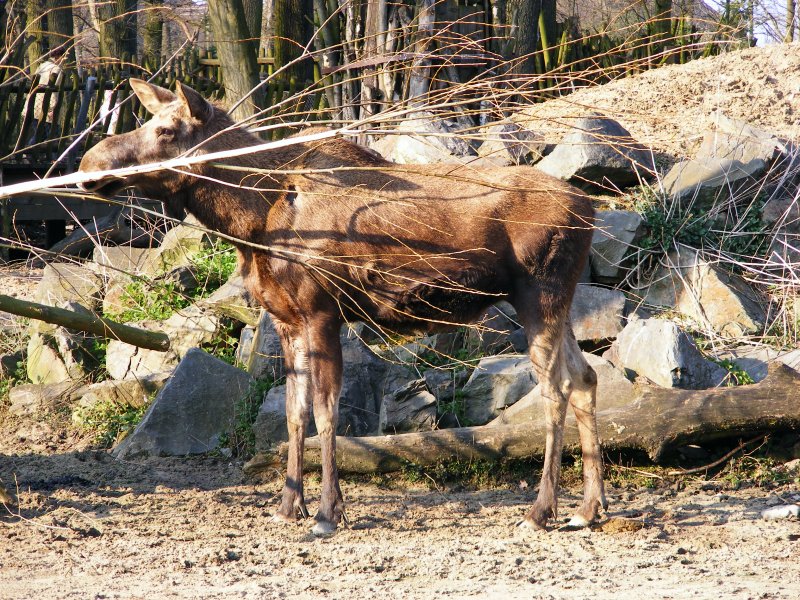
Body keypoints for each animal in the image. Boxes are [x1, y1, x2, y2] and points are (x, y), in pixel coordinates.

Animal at [79, 78, 608, 536]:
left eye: (166, 131)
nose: (87, 165)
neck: (251, 218)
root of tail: (591, 210)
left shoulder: (321, 314)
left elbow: (326, 411)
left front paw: (327, 513)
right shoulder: (286, 320)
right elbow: (294, 413)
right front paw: (289, 506)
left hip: (538, 294)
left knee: (557, 387)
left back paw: (541, 511)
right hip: (559, 302)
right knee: (586, 376)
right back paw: (588, 509)